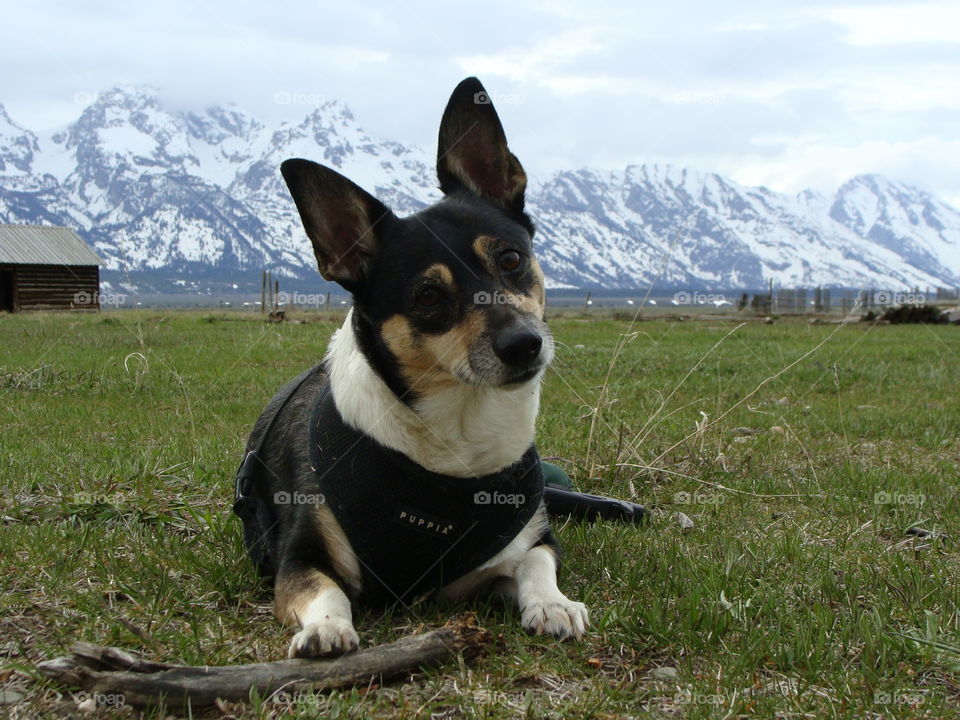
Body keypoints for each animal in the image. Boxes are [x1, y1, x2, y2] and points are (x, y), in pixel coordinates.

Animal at [236, 76, 588, 656]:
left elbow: (537, 565)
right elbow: (323, 589)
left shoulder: (527, 542)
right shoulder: (299, 556)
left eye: (511, 259)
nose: (524, 344)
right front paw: (326, 628)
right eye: (428, 296)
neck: (457, 440)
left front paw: (554, 604)